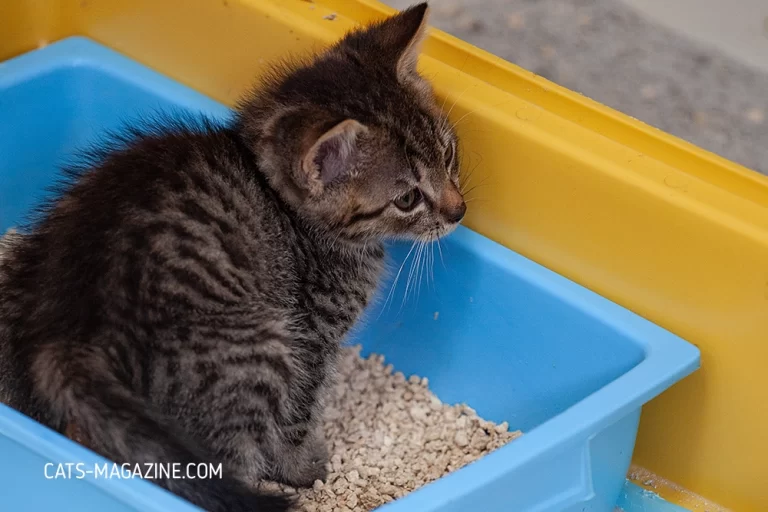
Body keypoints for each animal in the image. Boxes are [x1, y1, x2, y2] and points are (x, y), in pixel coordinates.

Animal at [0, 2, 462, 510]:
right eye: (407, 199)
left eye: (448, 155)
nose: (459, 210)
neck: (281, 199)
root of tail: (66, 338)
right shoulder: (311, 337)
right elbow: (298, 413)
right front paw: (301, 469)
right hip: (262, 348)